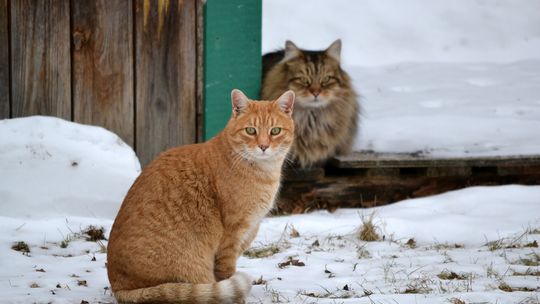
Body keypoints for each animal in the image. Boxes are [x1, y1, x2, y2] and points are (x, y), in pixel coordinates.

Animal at [106, 89, 296, 302]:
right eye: (251, 131)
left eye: (275, 131)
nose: (263, 146)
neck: (263, 171)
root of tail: (118, 286)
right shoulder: (231, 237)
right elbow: (226, 273)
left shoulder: (248, 232)